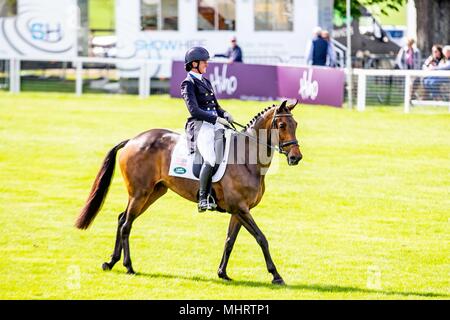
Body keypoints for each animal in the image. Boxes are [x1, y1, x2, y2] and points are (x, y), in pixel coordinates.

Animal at [75, 100, 302, 284]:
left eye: (296, 125)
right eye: (282, 125)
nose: (296, 157)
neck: (246, 158)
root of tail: (133, 140)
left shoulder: (239, 211)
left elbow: (230, 241)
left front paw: (222, 273)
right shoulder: (240, 208)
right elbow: (261, 238)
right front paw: (276, 275)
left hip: (153, 193)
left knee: (122, 218)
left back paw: (111, 262)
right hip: (140, 194)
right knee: (126, 225)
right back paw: (128, 266)